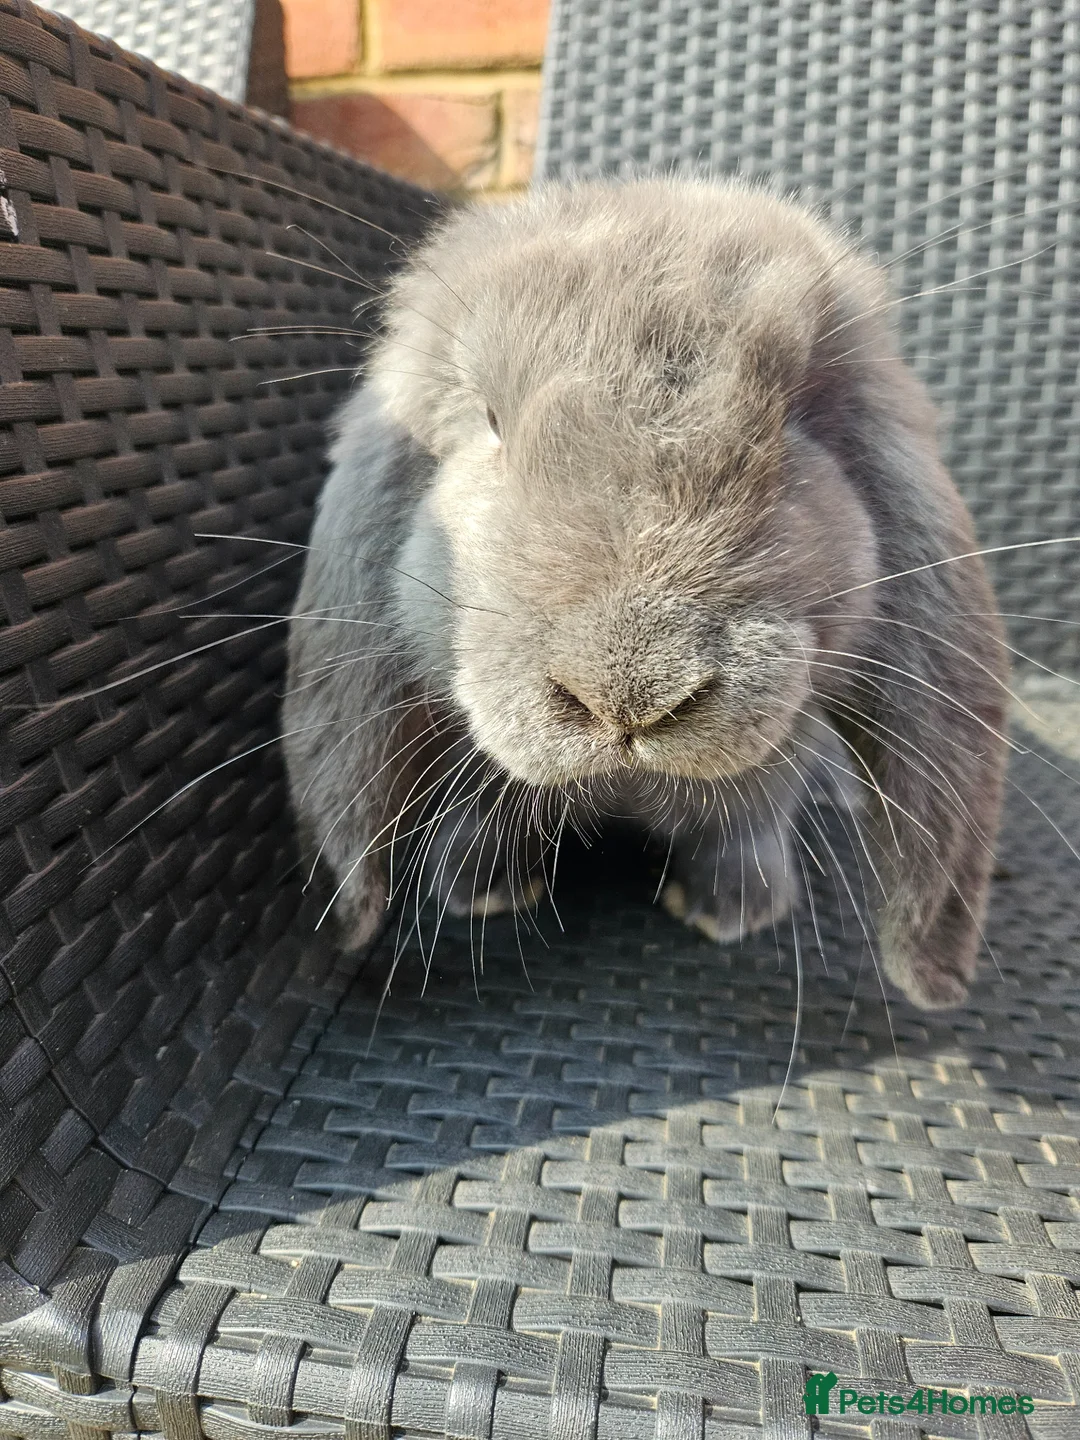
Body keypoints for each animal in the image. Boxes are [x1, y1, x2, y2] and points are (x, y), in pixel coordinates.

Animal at [282, 176, 1007, 1010]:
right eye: (489, 422)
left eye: (797, 422)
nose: (627, 696)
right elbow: (483, 818)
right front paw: (478, 890)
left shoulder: (766, 774)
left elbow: (743, 828)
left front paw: (734, 911)